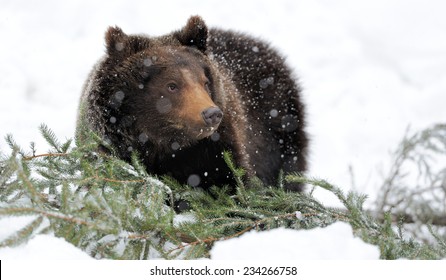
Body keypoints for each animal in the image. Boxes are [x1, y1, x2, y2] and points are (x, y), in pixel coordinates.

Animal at [76, 16, 306, 191]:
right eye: (172, 85)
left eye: (205, 82)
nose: (211, 113)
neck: (162, 144)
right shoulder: (111, 148)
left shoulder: (216, 151)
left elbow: (232, 185)